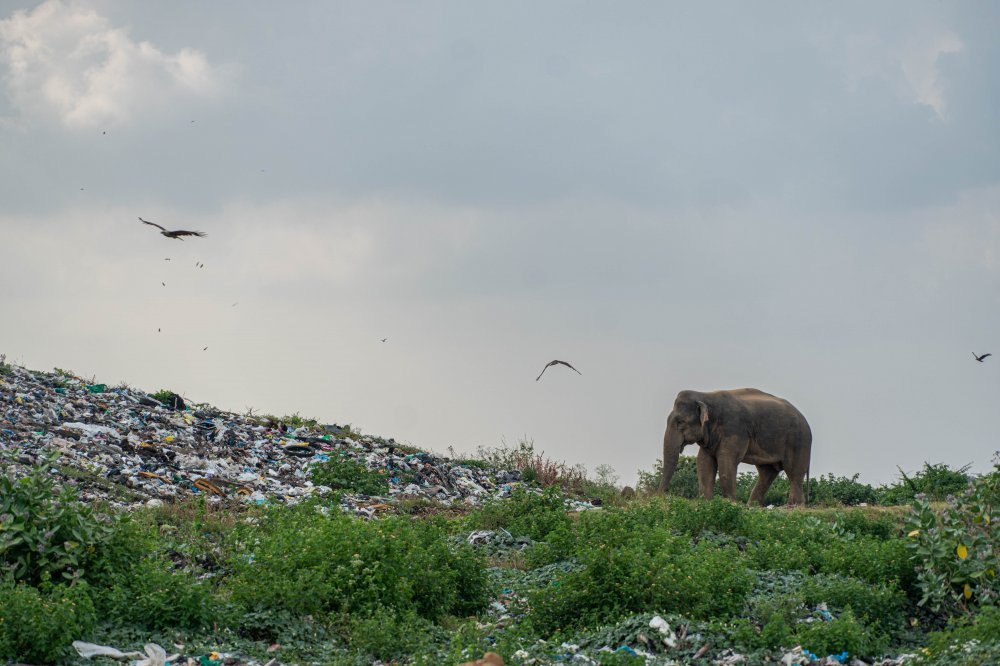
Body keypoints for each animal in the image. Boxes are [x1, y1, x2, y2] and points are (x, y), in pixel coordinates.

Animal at [656, 384, 812, 504]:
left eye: (680, 422)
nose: (660, 497)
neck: (705, 395)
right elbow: (704, 463)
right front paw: (705, 502)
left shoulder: (734, 428)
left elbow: (726, 460)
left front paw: (730, 503)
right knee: (767, 472)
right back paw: (753, 506)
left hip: (799, 441)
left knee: (794, 471)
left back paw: (793, 506)